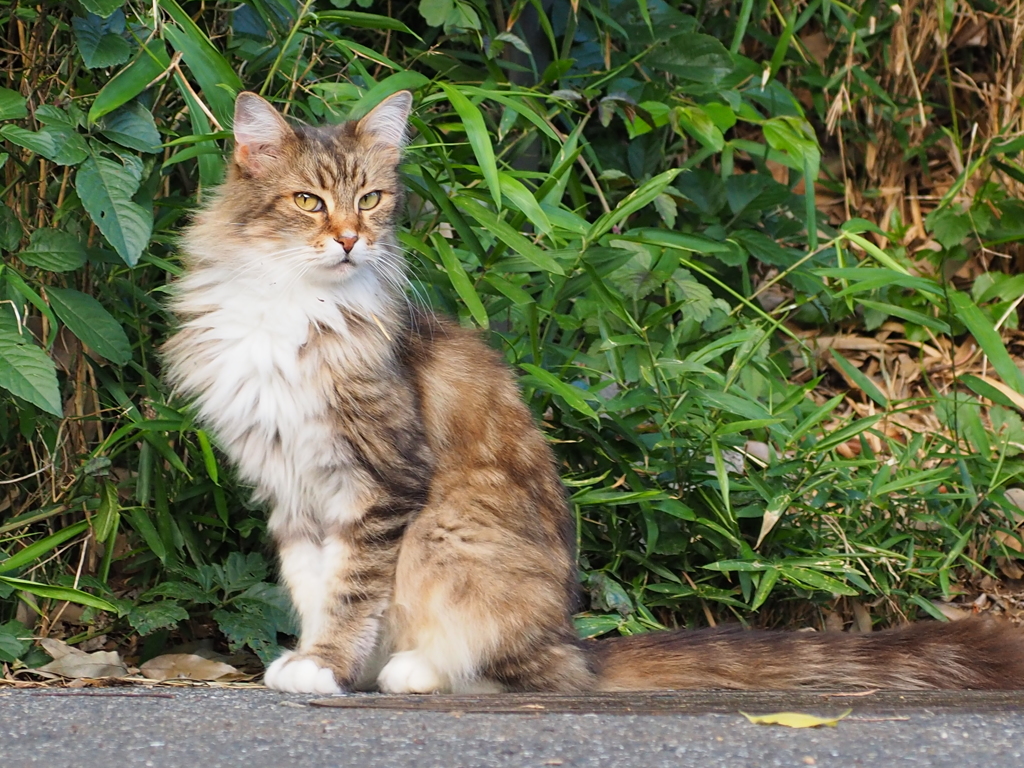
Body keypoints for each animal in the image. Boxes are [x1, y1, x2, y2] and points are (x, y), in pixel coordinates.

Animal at [161, 91, 1024, 696]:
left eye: (370, 199)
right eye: (310, 201)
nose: (349, 239)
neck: (292, 307)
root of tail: (572, 645)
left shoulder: (379, 481)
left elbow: (351, 592)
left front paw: (327, 667)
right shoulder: (291, 485)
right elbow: (316, 589)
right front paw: (316, 661)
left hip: (451, 535)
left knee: (498, 666)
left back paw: (413, 671)